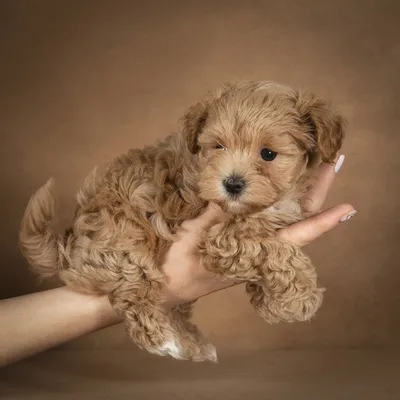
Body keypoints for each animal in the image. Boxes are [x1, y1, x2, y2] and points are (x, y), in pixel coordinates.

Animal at [18, 79, 344, 360]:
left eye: (268, 154)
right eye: (218, 147)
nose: (232, 184)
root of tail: (68, 239)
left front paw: (273, 303)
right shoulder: (223, 240)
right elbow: (275, 251)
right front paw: (300, 297)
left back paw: (191, 343)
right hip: (124, 247)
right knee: (132, 295)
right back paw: (162, 341)